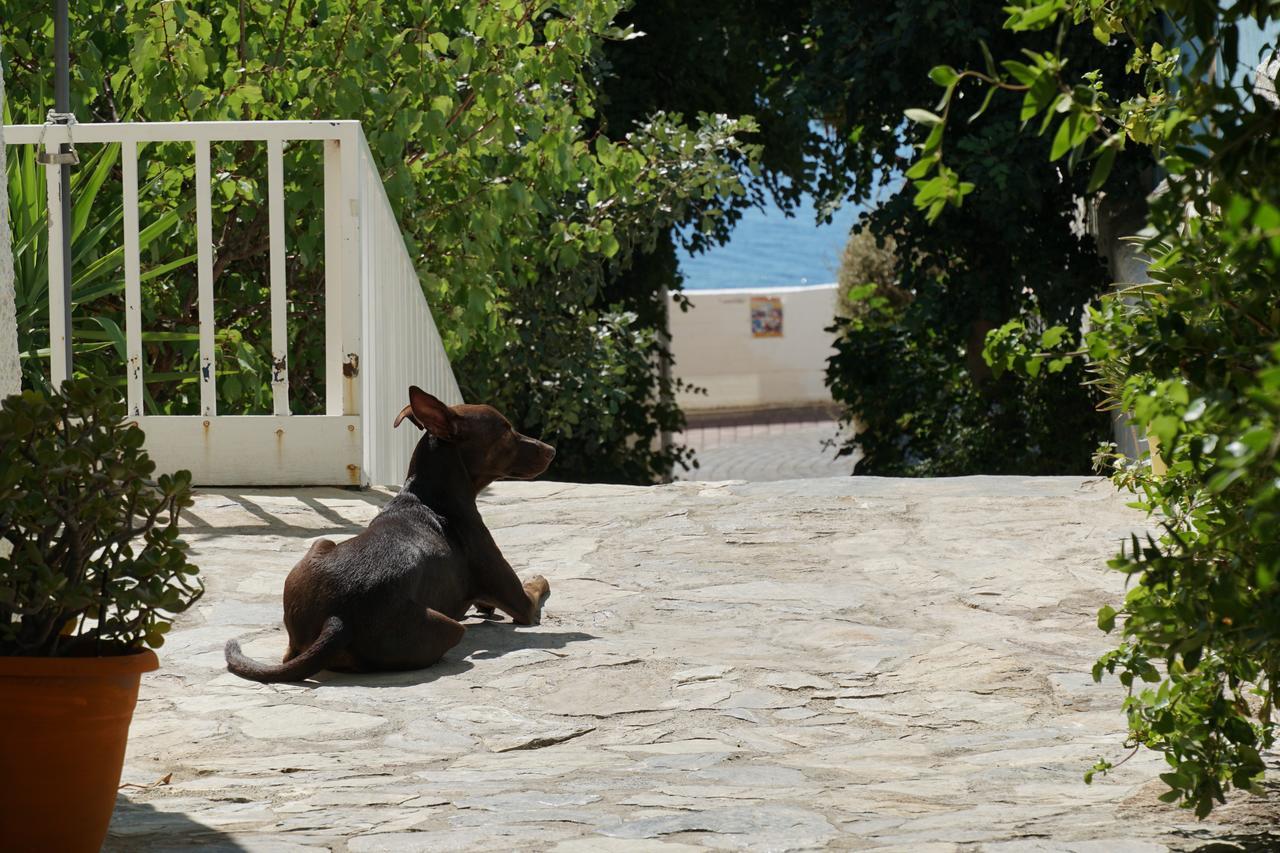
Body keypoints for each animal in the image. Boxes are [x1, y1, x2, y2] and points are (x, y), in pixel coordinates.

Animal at [225, 384, 555, 676]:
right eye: (506, 431)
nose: (551, 450)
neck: (430, 495)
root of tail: (337, 620)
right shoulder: (523, 605)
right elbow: (536, 589)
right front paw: (535, 579)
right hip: (447, 626)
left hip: (320, 546)